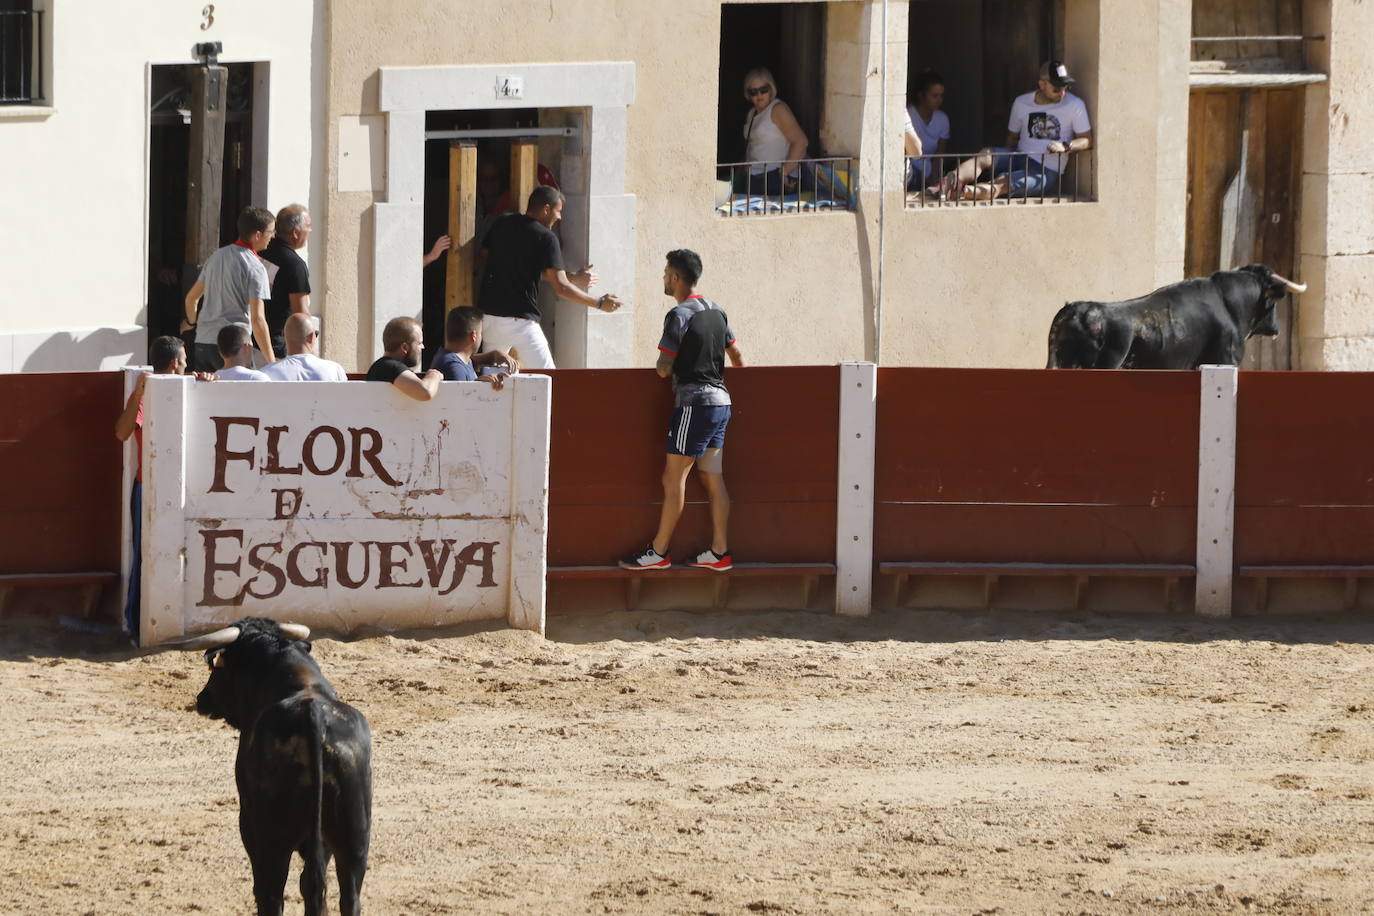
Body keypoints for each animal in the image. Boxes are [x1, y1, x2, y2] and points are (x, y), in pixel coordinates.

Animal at [177, 620, 370, 911]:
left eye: (219, 668)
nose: (202, 699)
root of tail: (314, 715)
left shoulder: (248, 819)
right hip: (355, 838)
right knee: (343, 896)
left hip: (272, 837)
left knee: (270, 892)